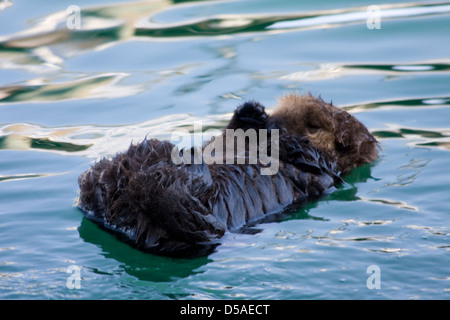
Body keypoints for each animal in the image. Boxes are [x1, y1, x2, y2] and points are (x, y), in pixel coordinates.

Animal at [76, 93, 376, 258]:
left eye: (315, 125)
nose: (276, 118)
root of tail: (126, 222)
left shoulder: (321, 171)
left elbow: (306, 156)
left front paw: (275, 134)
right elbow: (231, 129)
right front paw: (252, 112)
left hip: (202, 225)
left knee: (177, 199)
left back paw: (188, 164)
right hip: (107, 184)